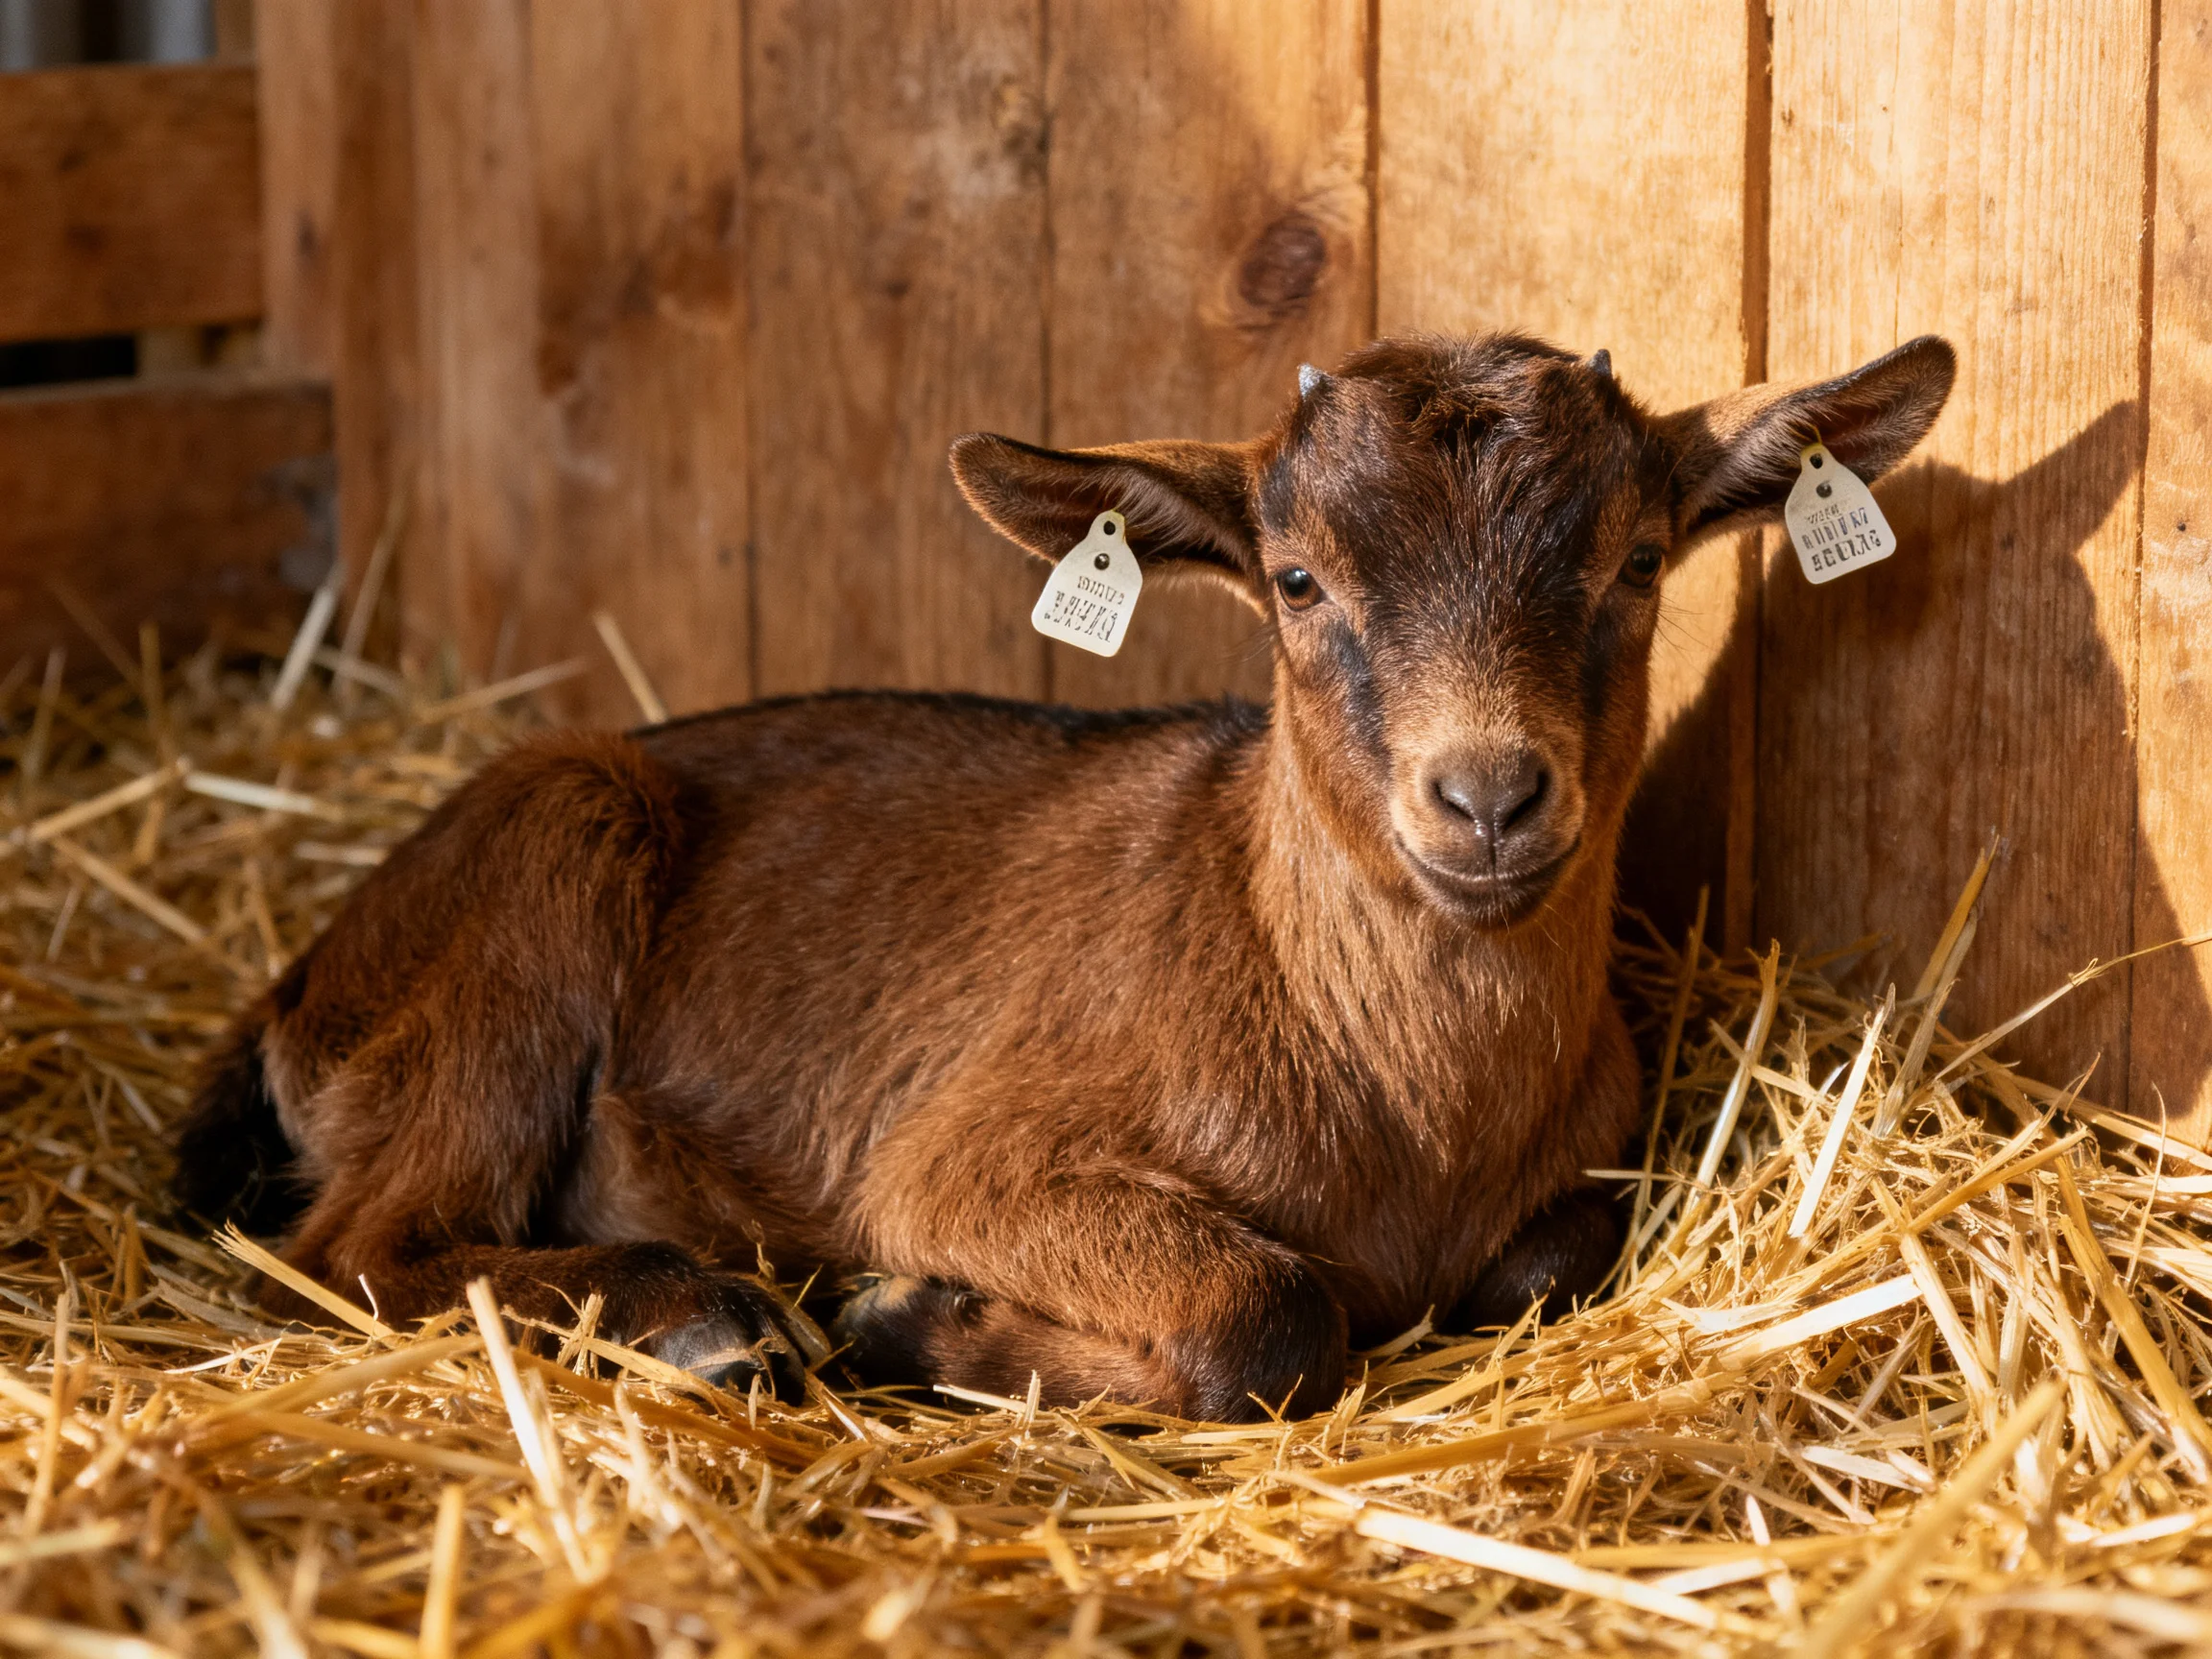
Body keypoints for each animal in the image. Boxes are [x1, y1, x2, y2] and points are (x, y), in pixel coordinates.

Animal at [174, 332, 1955, 1420]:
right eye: (1295, 578)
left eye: (1636, 561)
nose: (1486, 798)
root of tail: (301, 984)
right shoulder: (966, 1153)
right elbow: (1264, 1319)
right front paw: (909, 1318)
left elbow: (1531, 1267)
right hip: (541, 873)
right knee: (354, 1246)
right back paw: (701, 1312)